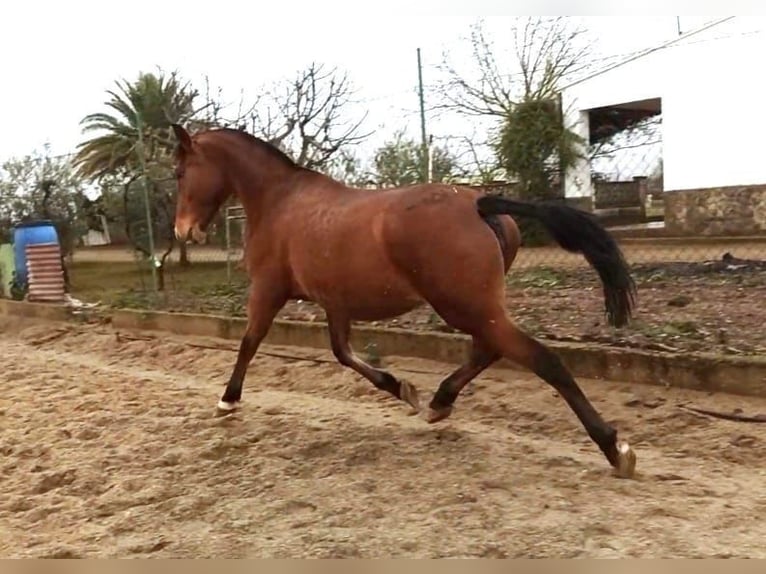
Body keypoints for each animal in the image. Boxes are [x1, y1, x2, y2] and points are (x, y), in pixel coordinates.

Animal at [171, 124, 640, 480]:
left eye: (179, 171)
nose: (182, 231)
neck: (279, 201)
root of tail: (479, 202)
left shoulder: (268, 290)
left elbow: (250, 341)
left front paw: (227, 400)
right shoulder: (335, 303)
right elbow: (342, 353)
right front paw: (404, 389)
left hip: (465, 306)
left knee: (541, 359)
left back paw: (615, 449)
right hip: (473, 308)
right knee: (490, 350)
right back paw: (438, 403)